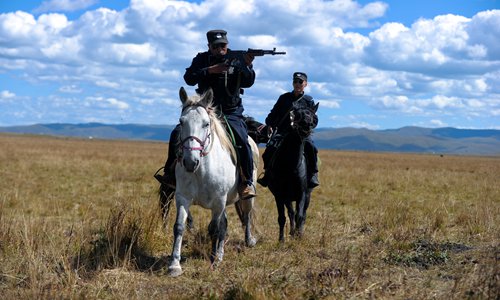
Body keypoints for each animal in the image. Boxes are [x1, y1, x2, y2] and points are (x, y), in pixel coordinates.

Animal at [170, 86, 260, 276]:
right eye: (181, 122)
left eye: (206, 123)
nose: (190, 162)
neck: (201, 171)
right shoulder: (183, 198)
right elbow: (179, 226)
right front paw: (174, 264)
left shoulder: (218, 201)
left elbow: (214, 229)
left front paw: (212, 262)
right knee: (225, 225)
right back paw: (220, 255)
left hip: (245, 198)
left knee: (246, 216)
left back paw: (248, 241)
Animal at [268, 101, 318, 241]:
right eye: (296, 114)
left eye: (312, 115)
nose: (306, 125)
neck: (291, 167)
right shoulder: (279, 195)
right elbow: (282, 217)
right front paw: (281, 240)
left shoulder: (302, 194)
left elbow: (299, 215)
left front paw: (298, 236)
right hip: (288, 198)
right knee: (290, 213)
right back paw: (291, 231)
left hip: (307, 196)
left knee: (302, 214)